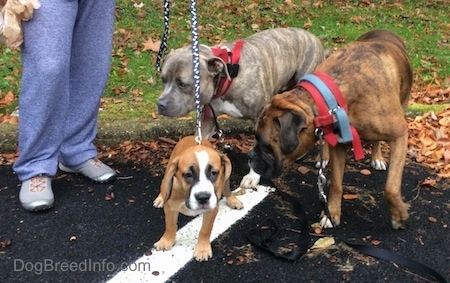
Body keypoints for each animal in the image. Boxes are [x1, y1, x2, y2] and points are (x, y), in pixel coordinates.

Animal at [248, 30, 414, 231]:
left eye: (266, 146)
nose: (250, 155)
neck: (333, 98)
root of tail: (385, 31)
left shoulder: (400, 135)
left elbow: (391, 187)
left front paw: (399, 214)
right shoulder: (338, 144)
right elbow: (335, 182)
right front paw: (331, 212)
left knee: (378, 142)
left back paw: (377, 157)